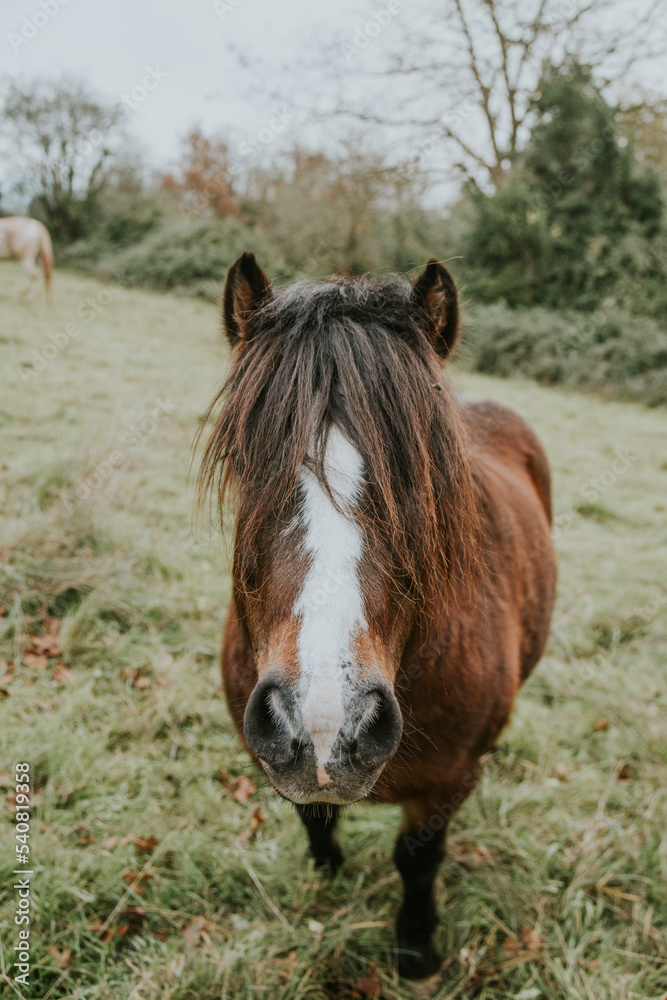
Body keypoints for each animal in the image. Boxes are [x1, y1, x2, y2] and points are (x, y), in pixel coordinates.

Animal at [198, 250, 560, 976]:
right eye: (248, 460)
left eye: (422, 476)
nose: (323, 721)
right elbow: (313, 814)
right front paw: (325, 871)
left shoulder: (446, 782)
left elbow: (417, 859)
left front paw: (415, 947)